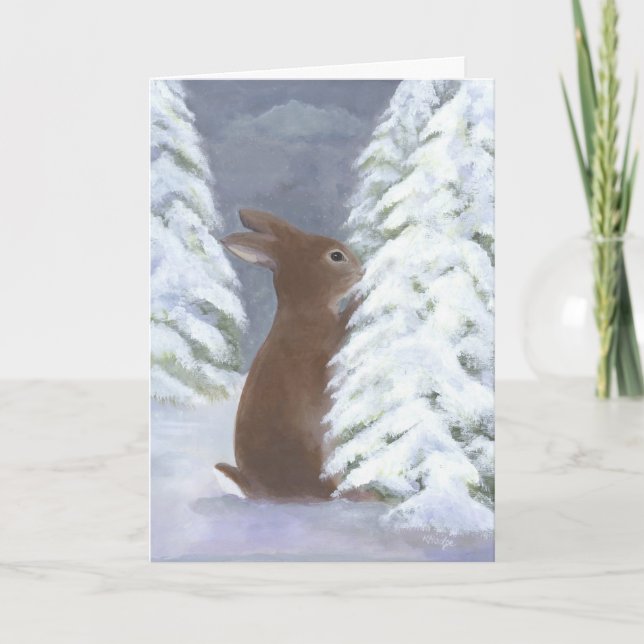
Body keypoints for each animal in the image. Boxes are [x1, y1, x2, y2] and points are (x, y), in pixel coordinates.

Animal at [215, 209, 363, 500]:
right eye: (336, 256)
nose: (362, 269)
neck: (303, 308)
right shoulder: (329, 338)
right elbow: (346, 322)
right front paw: (362, 296)